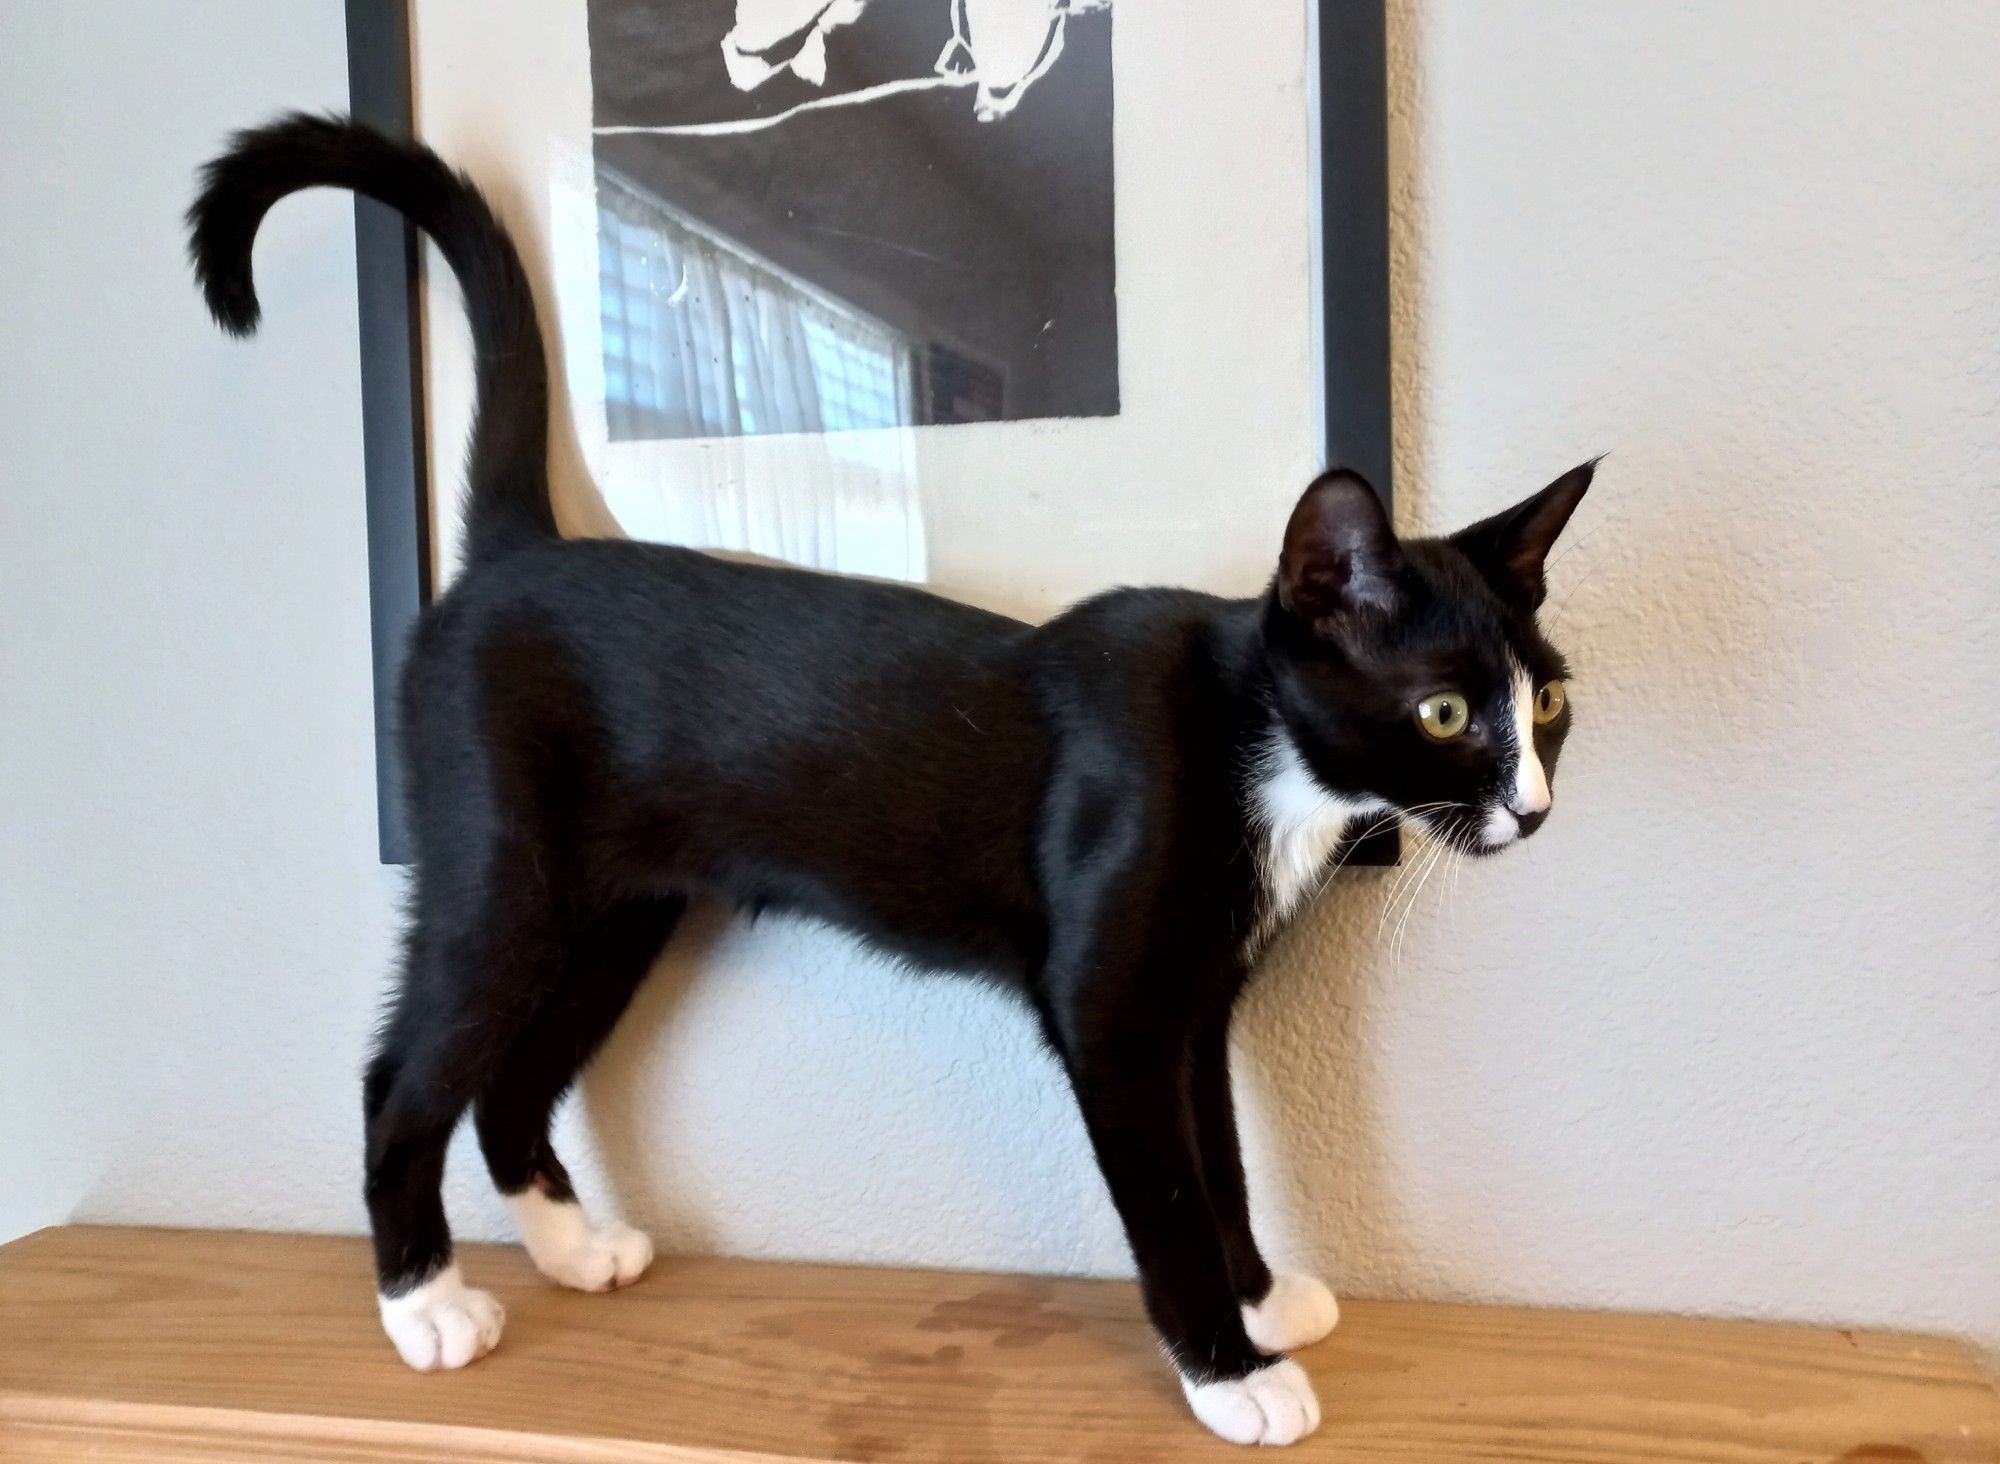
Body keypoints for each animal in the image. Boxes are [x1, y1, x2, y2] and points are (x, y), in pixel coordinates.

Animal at [191, 114, 1592, 1440]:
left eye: (1548, 702)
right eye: (1443, 711)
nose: (1531, 807)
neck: (1249, 740)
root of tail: (517, 550)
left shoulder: (1194, 1005)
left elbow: (1223, 1160)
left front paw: (1257, 1300)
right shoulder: (1108, 1009)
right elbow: (1167, 1191)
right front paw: (1229, 1371)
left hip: (616, 910)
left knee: (510, 1078)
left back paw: (573, 1248)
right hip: (504, 879)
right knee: (402, 1079)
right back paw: (423, 1302)